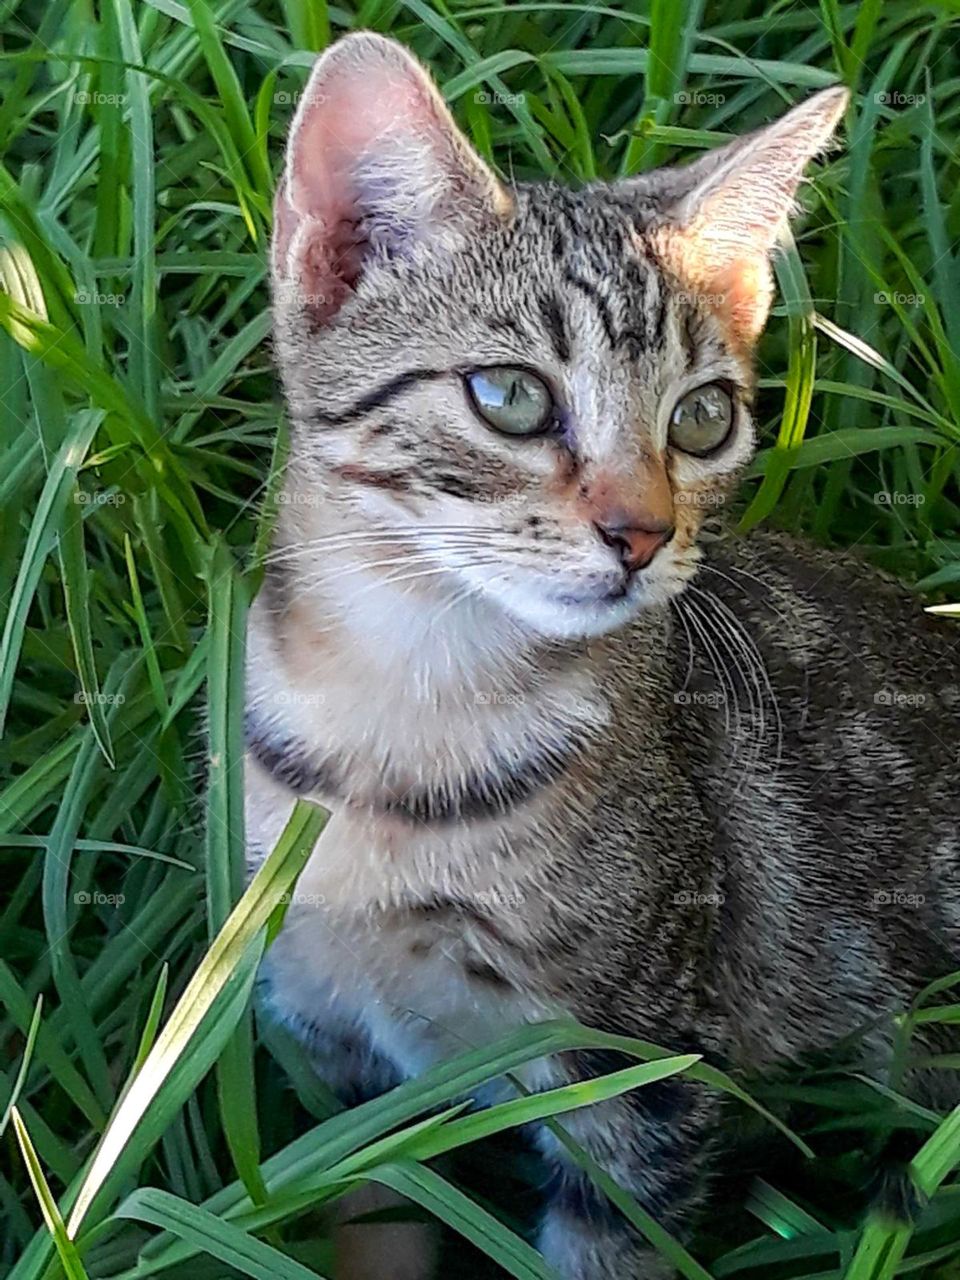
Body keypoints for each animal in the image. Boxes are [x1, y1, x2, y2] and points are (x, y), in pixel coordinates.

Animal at [249, 35, 960, 1280]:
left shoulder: (644, 1060)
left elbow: (612, 1237)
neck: (404, 716)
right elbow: (375, 1207)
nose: (643, 532)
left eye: (704, 418)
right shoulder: (337, 1048)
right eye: (510, 395)